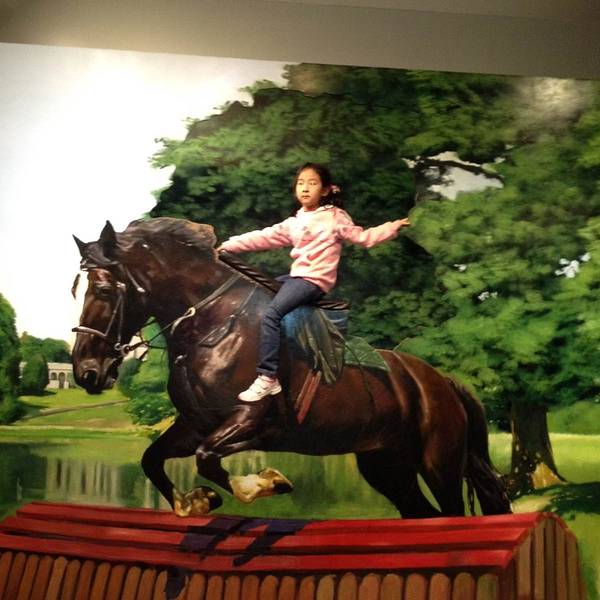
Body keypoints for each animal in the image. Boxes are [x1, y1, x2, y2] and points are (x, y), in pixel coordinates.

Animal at [71, 217, 511, 518]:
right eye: (79, 289)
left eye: (105, 289)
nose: (86, 372)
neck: (215, 326)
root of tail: (443, 382)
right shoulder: (195, 424)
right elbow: (153, 458)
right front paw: (194, 502)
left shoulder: (247, 420)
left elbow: (207, 457)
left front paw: (261, 484)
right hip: (387, 466)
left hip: (439, 464)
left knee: (451, 513)